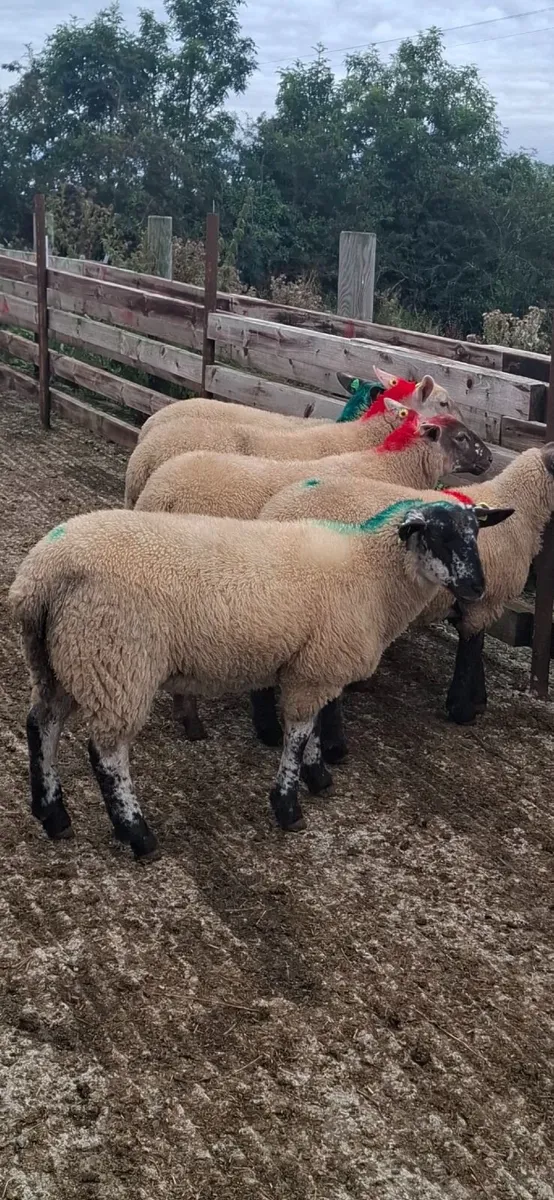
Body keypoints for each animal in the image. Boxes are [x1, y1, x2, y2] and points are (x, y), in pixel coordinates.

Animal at [9, 499, 505, 857]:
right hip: (116, 660)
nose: (477, 587)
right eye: (437, 535)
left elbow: (316, 727)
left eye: (476, 532)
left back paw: (53, 816)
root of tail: (38, 578)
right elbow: (299, 734)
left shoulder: (315, 665)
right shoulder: (315, 669)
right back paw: (137, 834)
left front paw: (318, 776)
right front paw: (288, 805)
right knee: (107, 754)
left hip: (60, 660)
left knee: (42, 726)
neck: (370, 570)